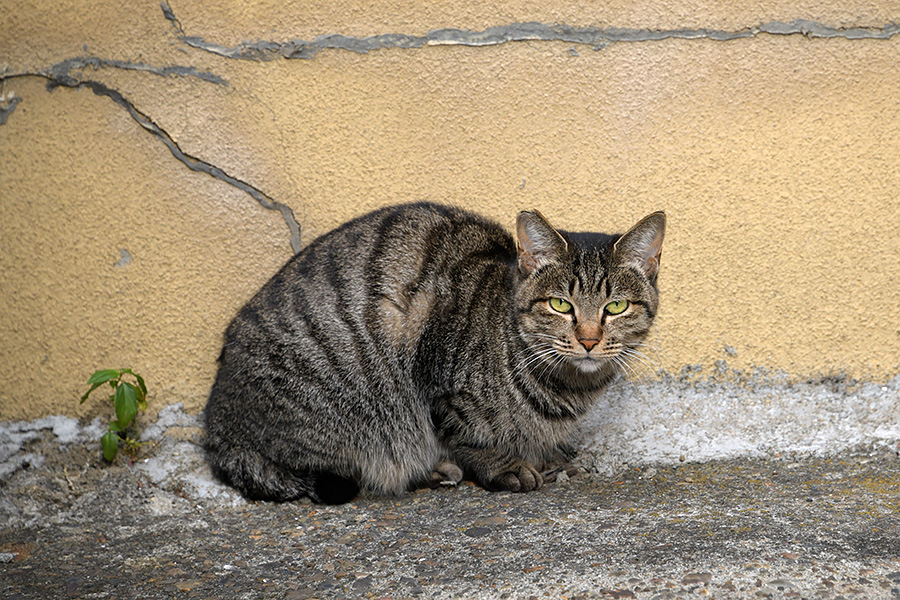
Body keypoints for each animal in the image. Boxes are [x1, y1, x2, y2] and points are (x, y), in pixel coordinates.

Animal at [206, 204, 668, 504]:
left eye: (615, 307)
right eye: (559, 305)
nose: (589, 339)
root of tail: (216, 425)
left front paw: (550, 457)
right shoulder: (438, 386)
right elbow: (465, 436)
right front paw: (505, 465)